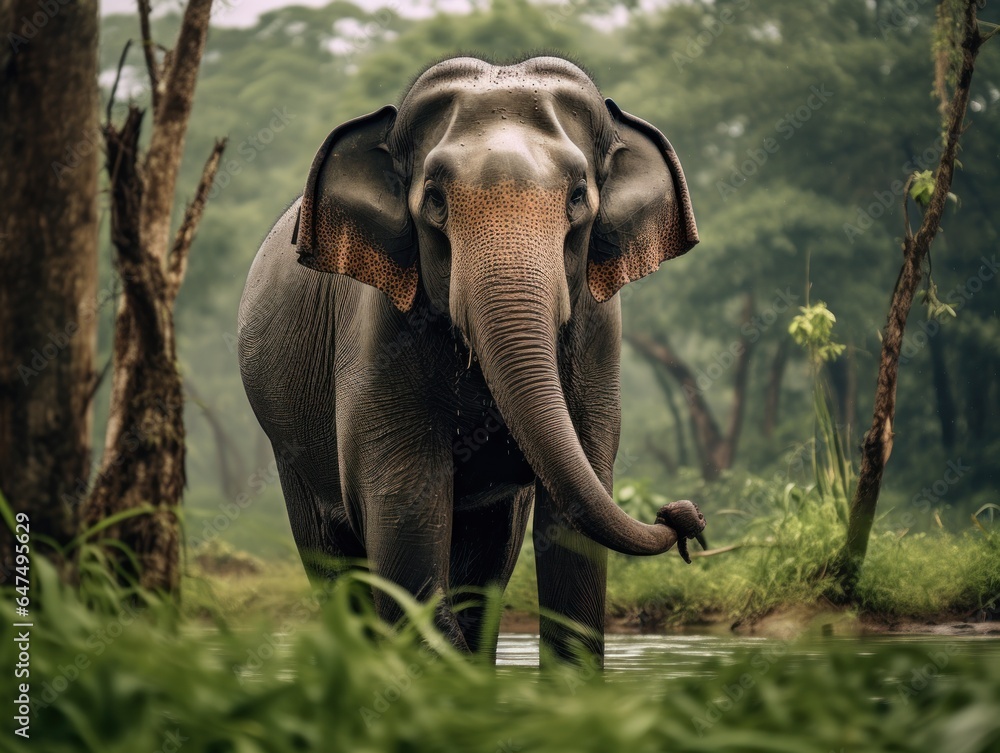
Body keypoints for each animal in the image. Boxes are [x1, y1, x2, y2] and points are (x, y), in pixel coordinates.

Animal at [238, 55, 706, 665]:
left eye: (579, 196)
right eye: (435, 200)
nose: (683, 516)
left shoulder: (599, 334)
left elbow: (572, 516)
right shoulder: (376, 334)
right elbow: (405, 512)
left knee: (487, 559)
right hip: (286, 438)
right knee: (334, 561)